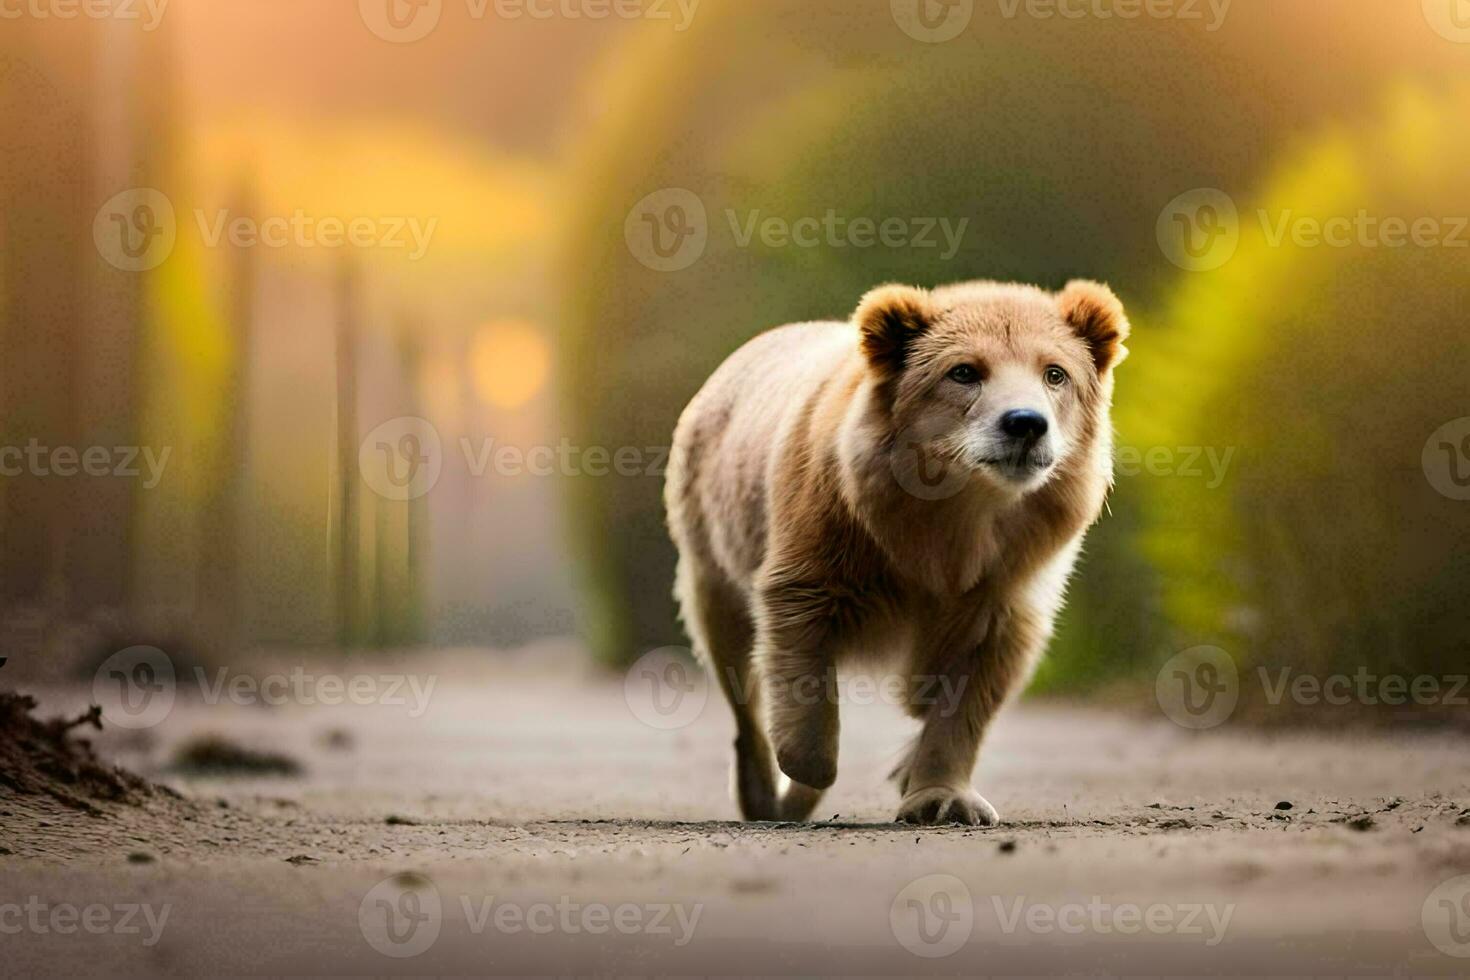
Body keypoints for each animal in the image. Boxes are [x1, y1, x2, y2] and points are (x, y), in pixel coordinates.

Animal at [667, 279, 1123, 822]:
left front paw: (938, 794)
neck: (957, 513)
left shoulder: (1006, 580)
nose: (1026, 423)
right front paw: (807, 765)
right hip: (711, 543)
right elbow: (800, 652)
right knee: (734, 663)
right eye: (964, 371)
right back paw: (764, 792)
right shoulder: (827, 543)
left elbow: (968, 692)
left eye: (1055, 373)